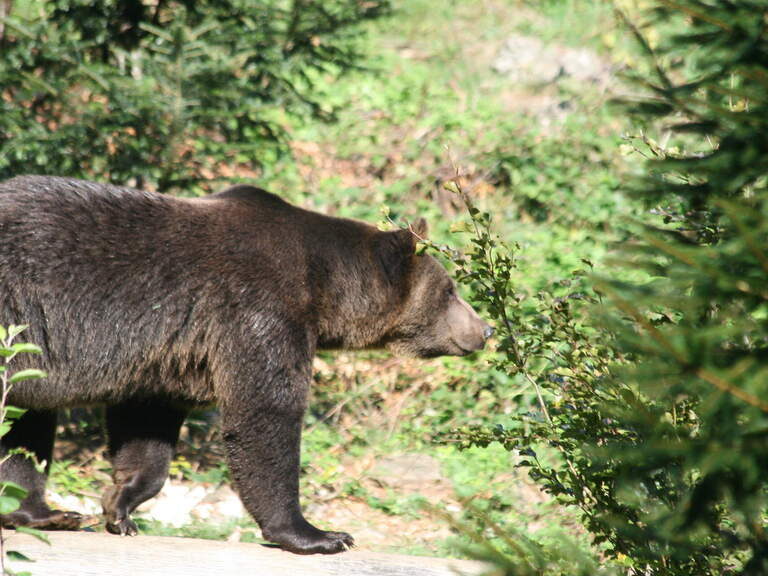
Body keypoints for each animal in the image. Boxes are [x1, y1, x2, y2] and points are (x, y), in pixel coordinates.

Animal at [0, 175, 492, 554]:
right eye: (451, 290)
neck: (322, 287)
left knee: (25, 424)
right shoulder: (257, 309)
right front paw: (319, 534)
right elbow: (265, 410)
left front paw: (121, 505)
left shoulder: (167, 353)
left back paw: (42, 512)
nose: (484, 329)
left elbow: (147, 423)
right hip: (16, 315)